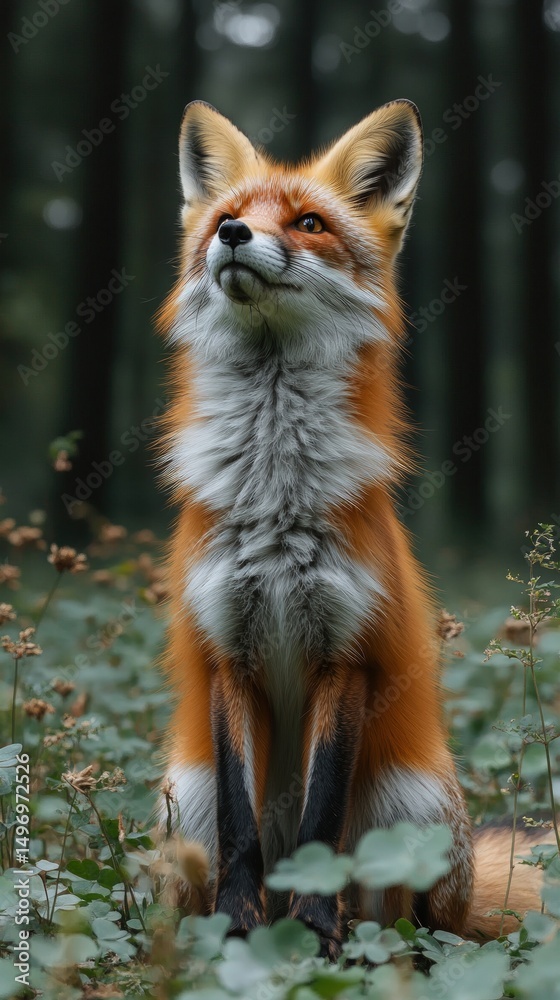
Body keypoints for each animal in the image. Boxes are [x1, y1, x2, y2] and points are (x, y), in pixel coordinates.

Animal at [155, 99, 545, 956]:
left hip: (415, 801)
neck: (275, 498)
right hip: (182, 790)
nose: (234, 236)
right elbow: (243, 828)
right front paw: (241, 932)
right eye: (226, 218)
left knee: (425, 927)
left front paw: (313, 935)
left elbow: (320, 822)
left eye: (308, 223)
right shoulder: (228, 653)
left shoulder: (348, 656)